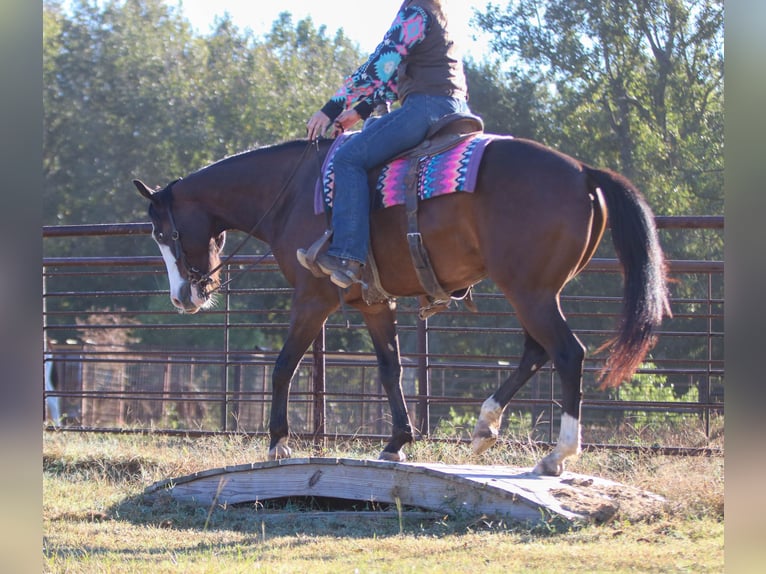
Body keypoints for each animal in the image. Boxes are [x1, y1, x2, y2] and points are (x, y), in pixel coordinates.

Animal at [134, 132, 670, 476]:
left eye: (162, 233)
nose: (183, 297)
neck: (291, 194)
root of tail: (583, 173)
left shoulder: (313, 297)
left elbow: (285, 364)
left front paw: (277, 441)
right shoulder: (374, 304)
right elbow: (390, 369)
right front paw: (396, 442)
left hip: (531, 293)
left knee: (567, 353)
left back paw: (558, 454)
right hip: (534, 291)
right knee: (537, 353)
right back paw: (485, 426)